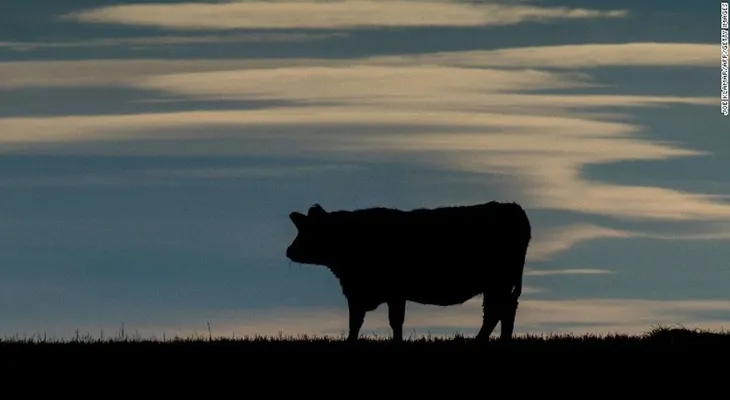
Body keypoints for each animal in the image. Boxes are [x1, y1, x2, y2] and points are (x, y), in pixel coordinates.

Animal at [285, 201, 531, 344]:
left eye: (308, 230)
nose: (289, 251)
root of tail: (512, 207)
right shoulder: (362, 292)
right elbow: (358, 321)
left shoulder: (387, 291)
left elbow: (391, 320)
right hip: (499, 284)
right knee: (504, 310)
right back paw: (500, 341)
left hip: (498, 282)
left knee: (496, 311)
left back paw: (481, 342)